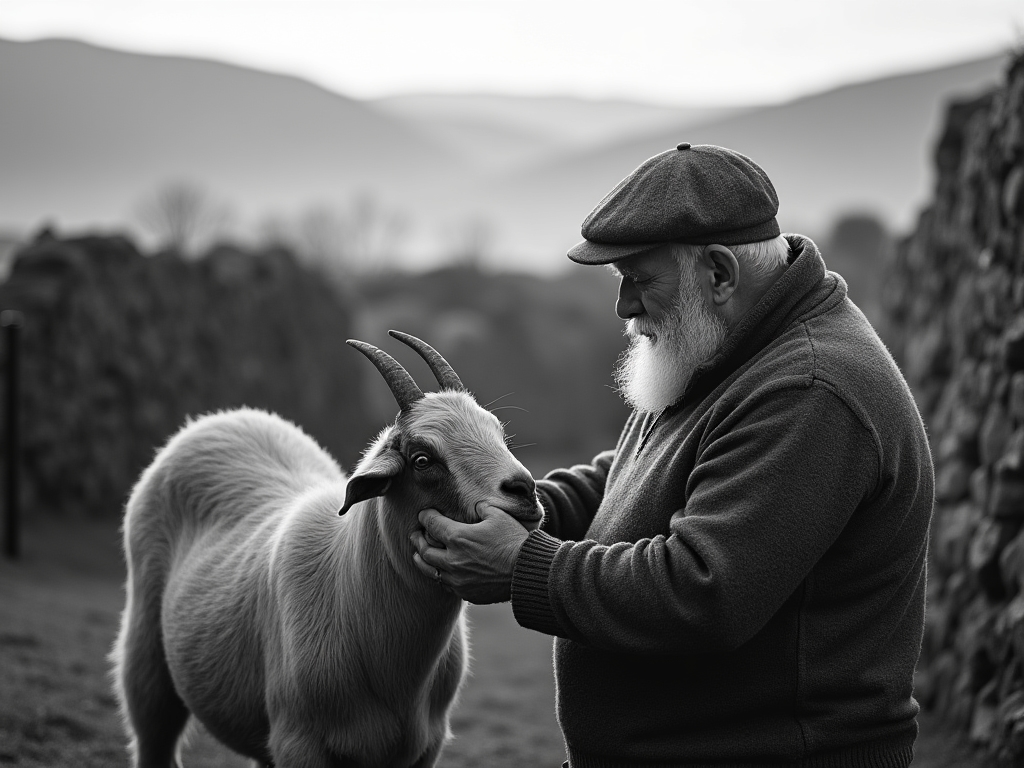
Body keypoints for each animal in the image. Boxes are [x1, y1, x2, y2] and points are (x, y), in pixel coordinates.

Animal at [110, 330, 542, 768]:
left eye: (498, 434)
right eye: (422, 459)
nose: (523, 491)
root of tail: (222, 419)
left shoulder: (425, 748)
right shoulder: (299, 744)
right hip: (148, 672)